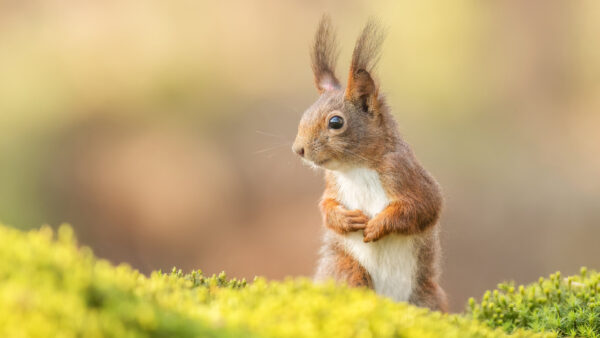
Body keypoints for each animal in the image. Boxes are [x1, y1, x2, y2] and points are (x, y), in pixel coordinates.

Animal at [292, 15, 448, 312]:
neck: (356, 168)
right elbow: (326, 207)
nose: (298, 150)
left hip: (425, 296)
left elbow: (422, 207)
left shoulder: (404, 173)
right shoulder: (332, 183)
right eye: (304, 115)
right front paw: (345, 218)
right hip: (347, 268)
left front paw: (378, 225)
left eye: (336, 122)